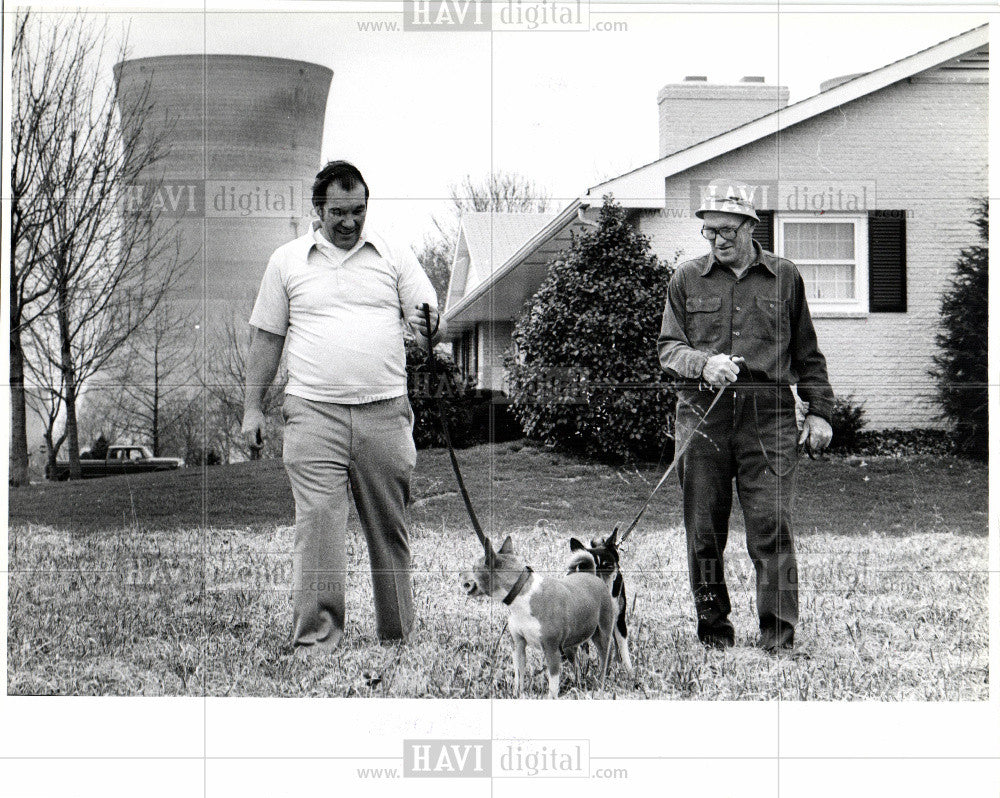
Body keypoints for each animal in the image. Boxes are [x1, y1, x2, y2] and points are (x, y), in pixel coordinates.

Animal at [462, 536, 616, 700]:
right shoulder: (519, 646)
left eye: (473, 568)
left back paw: (600, 686)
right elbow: (519, 676)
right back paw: (578, 686)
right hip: (570, 646)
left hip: (602, 636)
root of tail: (592, 575)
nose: (460, 575)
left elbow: (553, 686)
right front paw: (517, 695)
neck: (522, 593)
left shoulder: (551, 651)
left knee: (604, 661)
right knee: (576, 665)